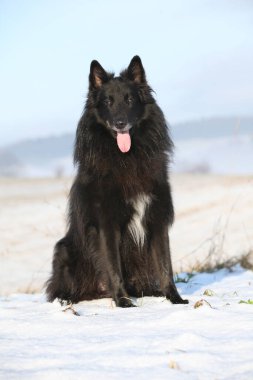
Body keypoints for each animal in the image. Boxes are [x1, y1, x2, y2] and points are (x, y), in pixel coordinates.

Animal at [46, 55, 188, 306]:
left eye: (129, 99)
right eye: (108, 102)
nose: (120, 123)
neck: (126, 158)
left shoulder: (156, 219)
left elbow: (165, 265)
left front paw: (175, 298)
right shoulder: (107, 224)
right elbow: (113, 266)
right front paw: (122, 301)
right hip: (63, 249)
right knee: (60, 289)